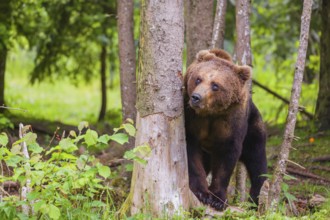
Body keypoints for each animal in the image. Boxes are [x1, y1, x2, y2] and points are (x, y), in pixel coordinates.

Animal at [184, 49, 266, 211]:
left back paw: (255, 200)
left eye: (215, 85)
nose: (196, 97)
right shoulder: (192, 120)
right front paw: (202, 192)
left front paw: (218, 199)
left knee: (258, 163)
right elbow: (192, 155)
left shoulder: (231, 122)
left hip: (254, 129)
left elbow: (226, 158)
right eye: (198, 79)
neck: (210, 113)